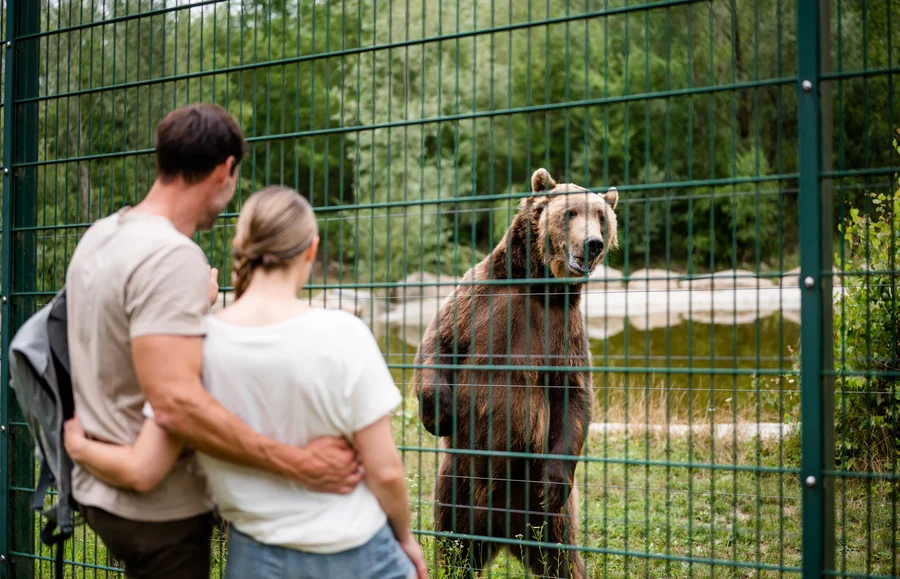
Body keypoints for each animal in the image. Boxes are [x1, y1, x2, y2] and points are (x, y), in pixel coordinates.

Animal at [412, 168, 619, 578]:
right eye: (571, 212)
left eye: (602, 216)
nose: (593, 244)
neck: (538, 287)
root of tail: (503, 532)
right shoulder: (480, 299)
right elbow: (438, 341)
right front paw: (439, 413)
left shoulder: (563, 330)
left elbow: (573, 392)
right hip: (457, 482)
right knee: (453, 547)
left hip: (539, 505)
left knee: (562, 557)